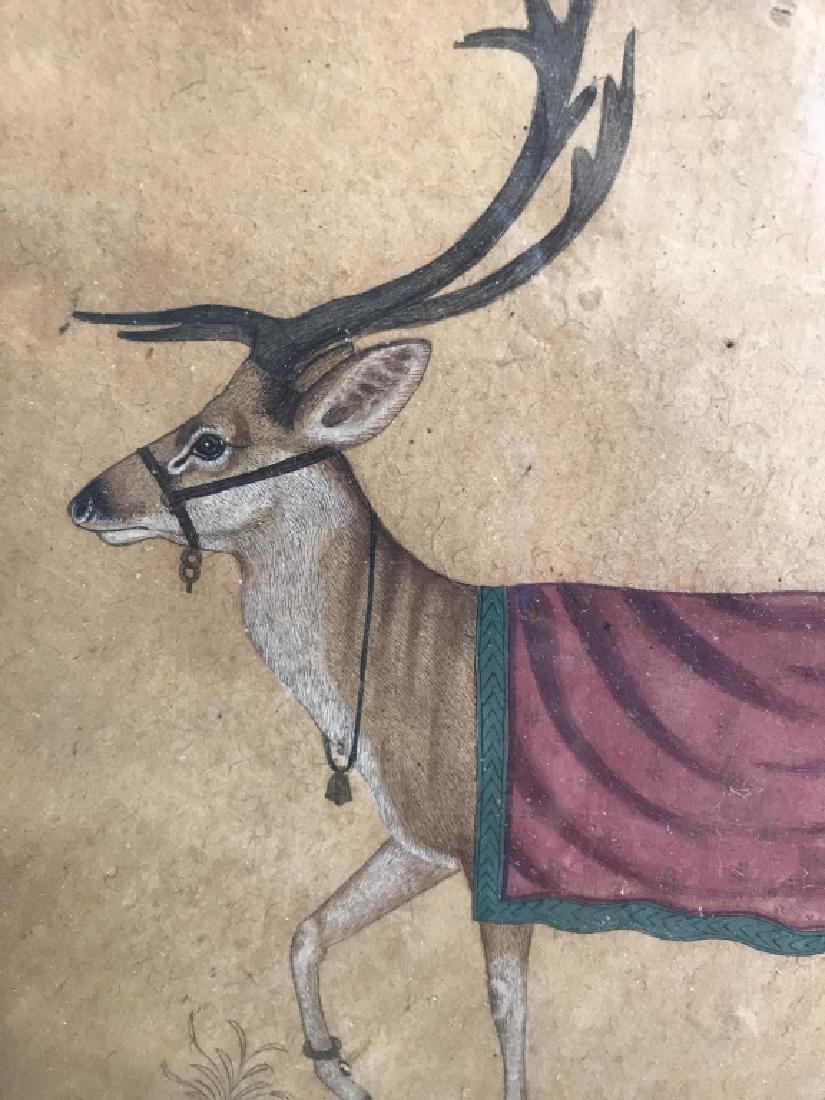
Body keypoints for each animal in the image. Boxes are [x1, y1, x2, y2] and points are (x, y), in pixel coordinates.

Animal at [67, 3, 635, 1098]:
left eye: (210, 440)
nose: (86, 498)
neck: (416, 675)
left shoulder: (498, 858)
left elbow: (509, 1017)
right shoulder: (419, 837)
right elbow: (307, 927)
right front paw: (340, 1069)